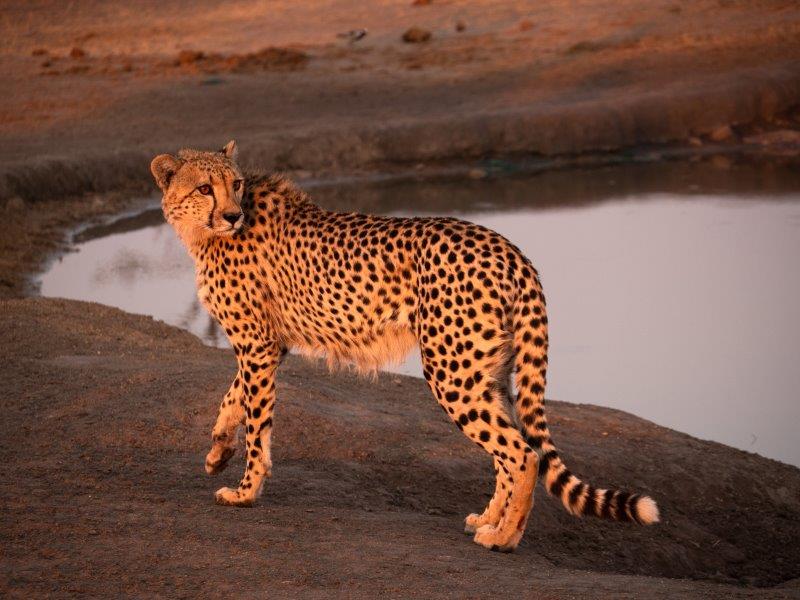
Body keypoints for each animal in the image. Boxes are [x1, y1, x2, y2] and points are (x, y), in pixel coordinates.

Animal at [153, 142, 660, 552]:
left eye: (234, 184)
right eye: (205, 187)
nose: (232, 215)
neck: (206, 234)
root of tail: (508, 247)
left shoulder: (257, 345)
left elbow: (257, 423)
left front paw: (245, 491)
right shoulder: (269, 345)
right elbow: (233, 396)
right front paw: (218, 451)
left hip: (452, 371)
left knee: (523, 454)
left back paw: (504, 538)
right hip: (486, 370)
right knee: (508, 450)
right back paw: (488, 519)